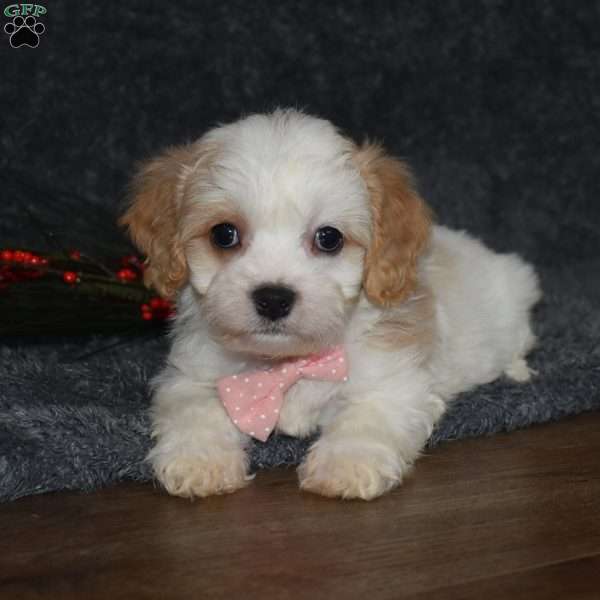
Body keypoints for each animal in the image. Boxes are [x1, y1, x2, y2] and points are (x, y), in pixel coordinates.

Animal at [119, 109, 540, 502]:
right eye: (224, 234)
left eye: (329, 238)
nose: (273, 298)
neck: (287, 365)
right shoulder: (189, 374)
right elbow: (195, 410)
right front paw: (199, 462)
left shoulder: (394, 383)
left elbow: (365, 419)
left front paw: (347, 465)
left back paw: (519, 371)